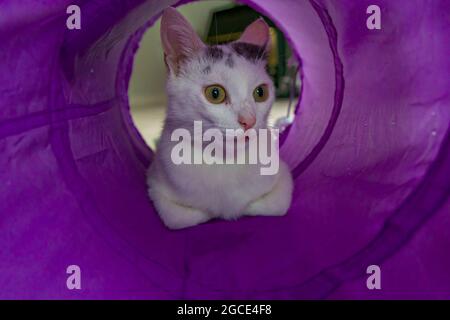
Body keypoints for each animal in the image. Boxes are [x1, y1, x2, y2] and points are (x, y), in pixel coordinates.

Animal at [147, 6, 296, 229]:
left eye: (260, 92)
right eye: (215, 93)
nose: (249, 121)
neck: (224, 159)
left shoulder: (283, 175)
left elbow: (274, 204)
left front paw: (236, 210)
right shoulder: (155, 183)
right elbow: (180, 217)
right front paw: (216, 212)